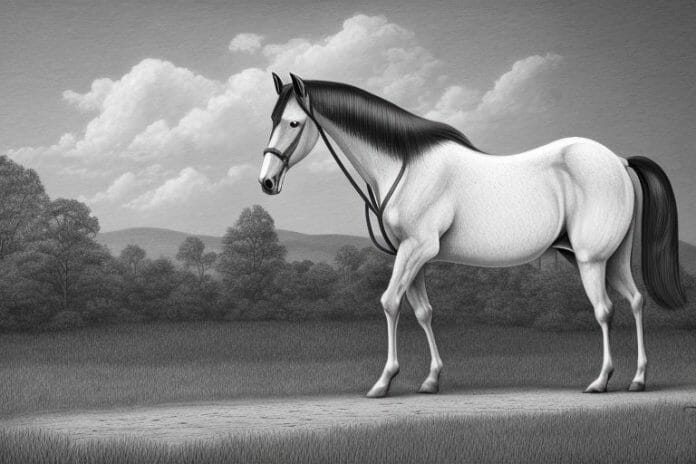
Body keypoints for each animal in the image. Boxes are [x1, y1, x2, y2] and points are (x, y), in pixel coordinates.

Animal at [258, 72, 686, 397]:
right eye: (272, 119)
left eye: (293, 122)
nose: (266, 182)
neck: (406, 165)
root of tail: (617, 160)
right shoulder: (415, 256)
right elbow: (423, 312)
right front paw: (431, 380)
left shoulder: (416, 249)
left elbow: (390, 303)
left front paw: (383, 382)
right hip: (613, 258)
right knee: (635, 301)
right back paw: (638, 379)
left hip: (590, 259)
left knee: (605, 310)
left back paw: (600, 381)